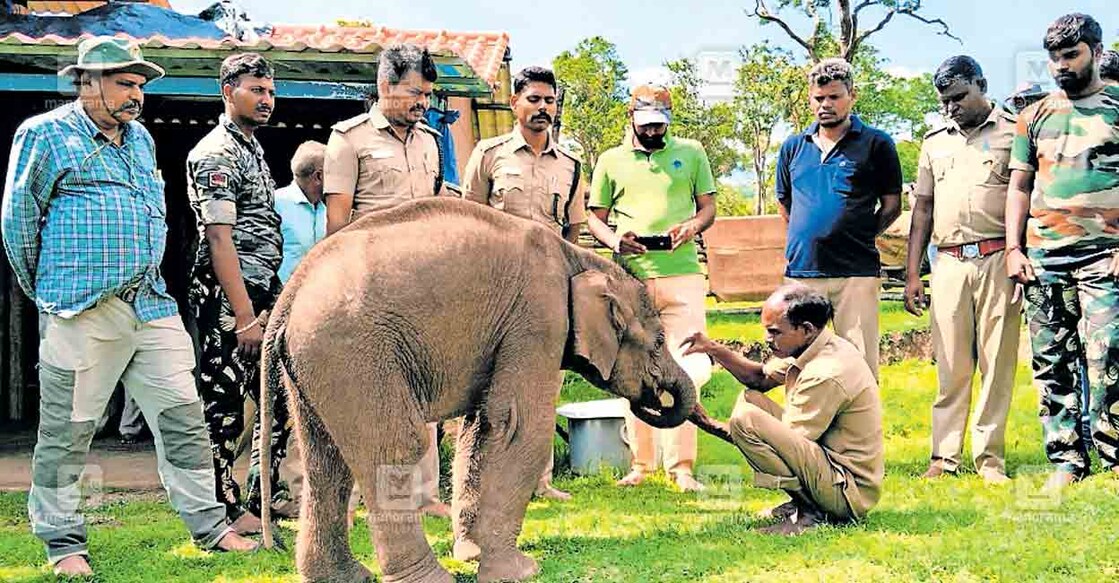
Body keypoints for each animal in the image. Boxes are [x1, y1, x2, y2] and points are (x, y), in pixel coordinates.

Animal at [262, 198, 698, 577]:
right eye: (660, 341)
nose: (652, 396)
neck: (579, 257)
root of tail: (289, 296)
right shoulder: (539, 316)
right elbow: (519, 426)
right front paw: (517, 571)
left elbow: (481, 429)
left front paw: (472, 553)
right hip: (354, 352)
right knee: (396, 445)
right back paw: (429, 577)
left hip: (313, 364)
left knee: (325, 458)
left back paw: (345, 576)